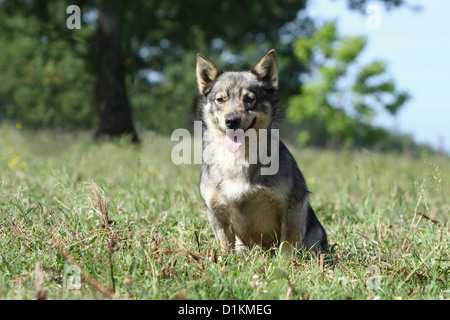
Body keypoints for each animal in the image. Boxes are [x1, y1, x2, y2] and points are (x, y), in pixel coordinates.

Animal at [195, 49, 328, 255]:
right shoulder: (216, 213)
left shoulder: (294, 205)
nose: (231, 121)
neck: (239, 158)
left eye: (249, 99)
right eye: (220, 100)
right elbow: (225, 246)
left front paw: (284, 262)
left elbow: (287, 245)